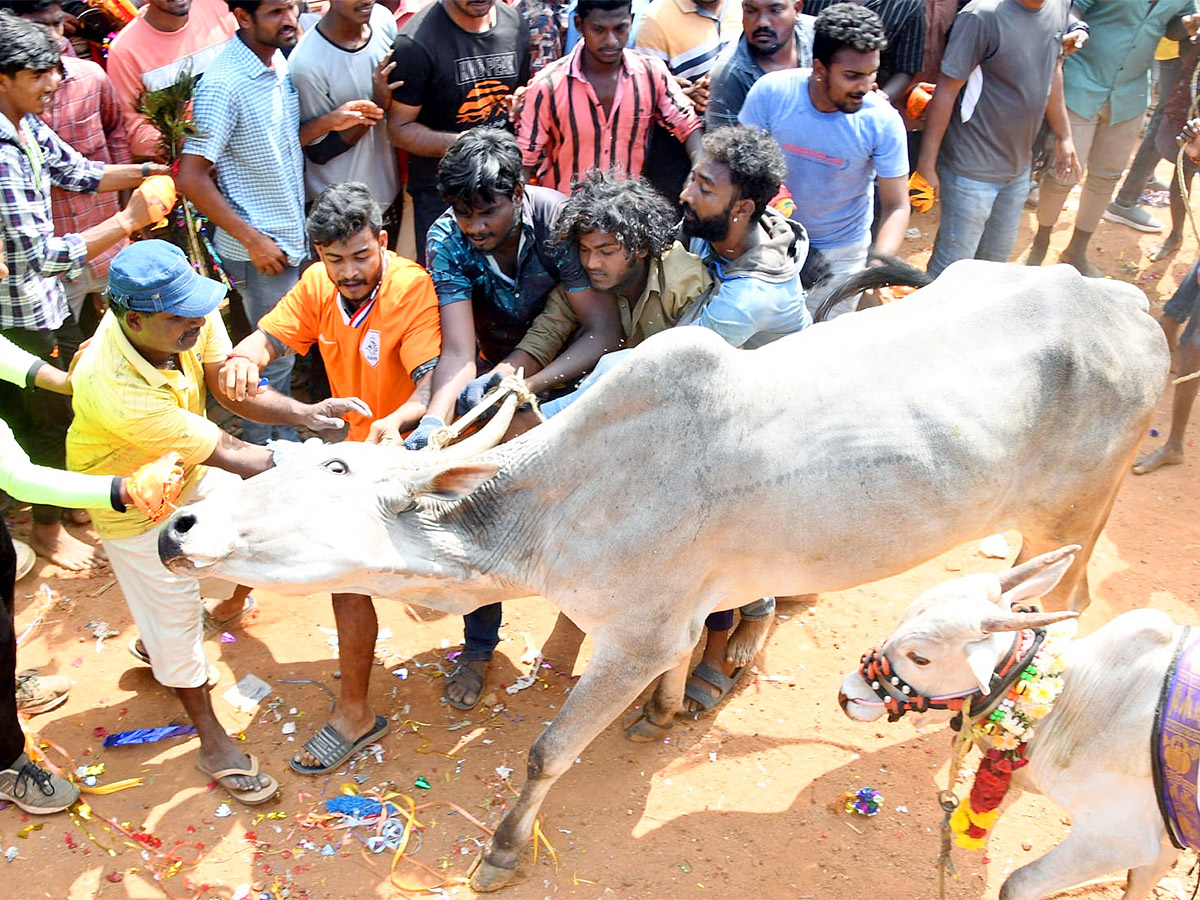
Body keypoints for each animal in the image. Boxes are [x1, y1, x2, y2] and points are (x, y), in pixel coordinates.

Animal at [840, 547, 1185, 900]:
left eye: (919, 658)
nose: (846, 696)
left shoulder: (1118, 839)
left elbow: (1016, 885)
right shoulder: (1168, 838)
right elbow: (1139, 883)